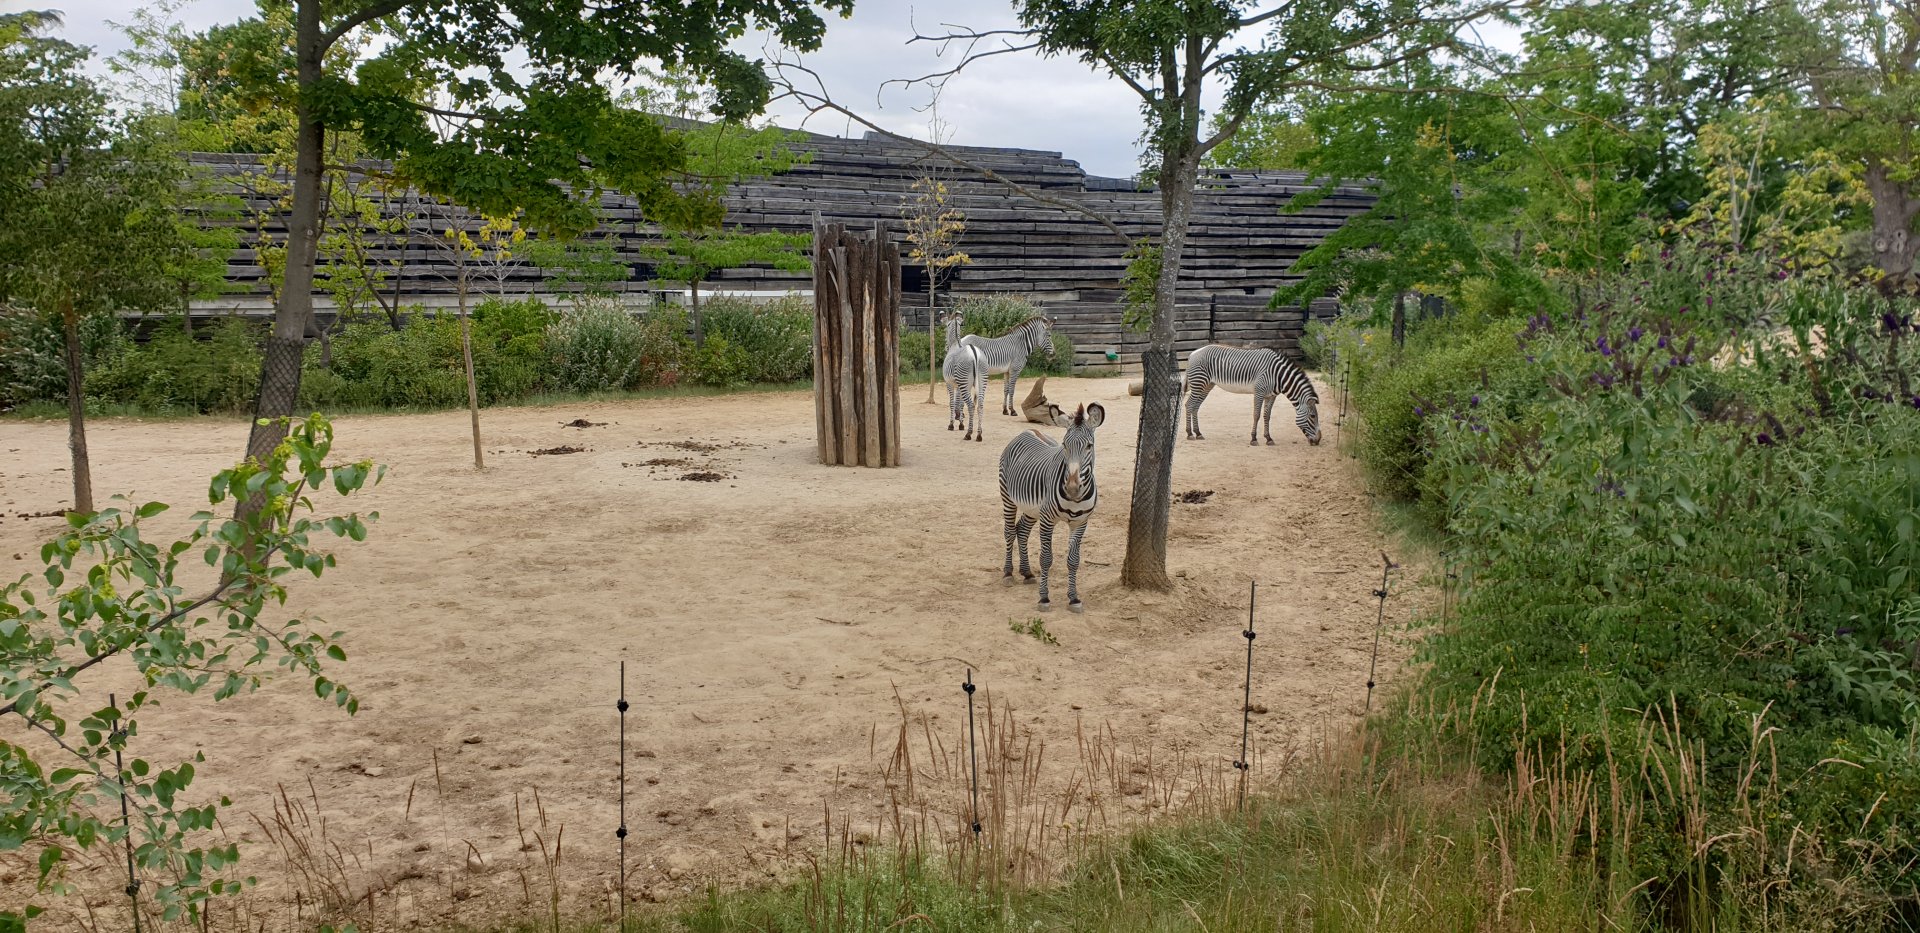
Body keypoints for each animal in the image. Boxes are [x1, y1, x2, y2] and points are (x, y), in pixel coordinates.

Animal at [941, 312, 988, 441]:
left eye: (946, 327)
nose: (945, 347)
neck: (955, 345)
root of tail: (974, 353)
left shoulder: (950, 384)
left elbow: (952, 403)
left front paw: (952, 424)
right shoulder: (960, 385)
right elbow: (960, 403)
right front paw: (961, 423)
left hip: (964, 382)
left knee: (971, 405)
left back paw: (969, 433)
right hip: (981, 381)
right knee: (980, 405)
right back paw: (979, 434)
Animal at [997, 402, 1105, 613]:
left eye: (1089, 446)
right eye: (1064, 445)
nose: (1072, 489)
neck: (1075, 500)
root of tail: (1029, 430)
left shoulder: (1080, 523)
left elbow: (1073, 560)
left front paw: (1073, 598)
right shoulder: (1048, 519)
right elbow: (1046, 558)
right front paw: (1044, 598)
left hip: (1032, 509)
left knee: (1022, 530)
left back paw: (1027, 573)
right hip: (1007, 496)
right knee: (1009, 531)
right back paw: (1008, 573)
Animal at [1181, 344, 1321, 446]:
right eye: (1313, 416)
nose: (1318, 440)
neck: (1279, 375)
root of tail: (1194, 352)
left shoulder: (1271, 396)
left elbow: (1267, 416)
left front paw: (1268, 438)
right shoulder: (1259, 392)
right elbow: (1256, 415)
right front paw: (1254, 439)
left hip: (1207, 385)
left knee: (1195, 407)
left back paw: (1198, 433)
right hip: (1199, 382)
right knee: (1189, 405)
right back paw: (1189, 434)